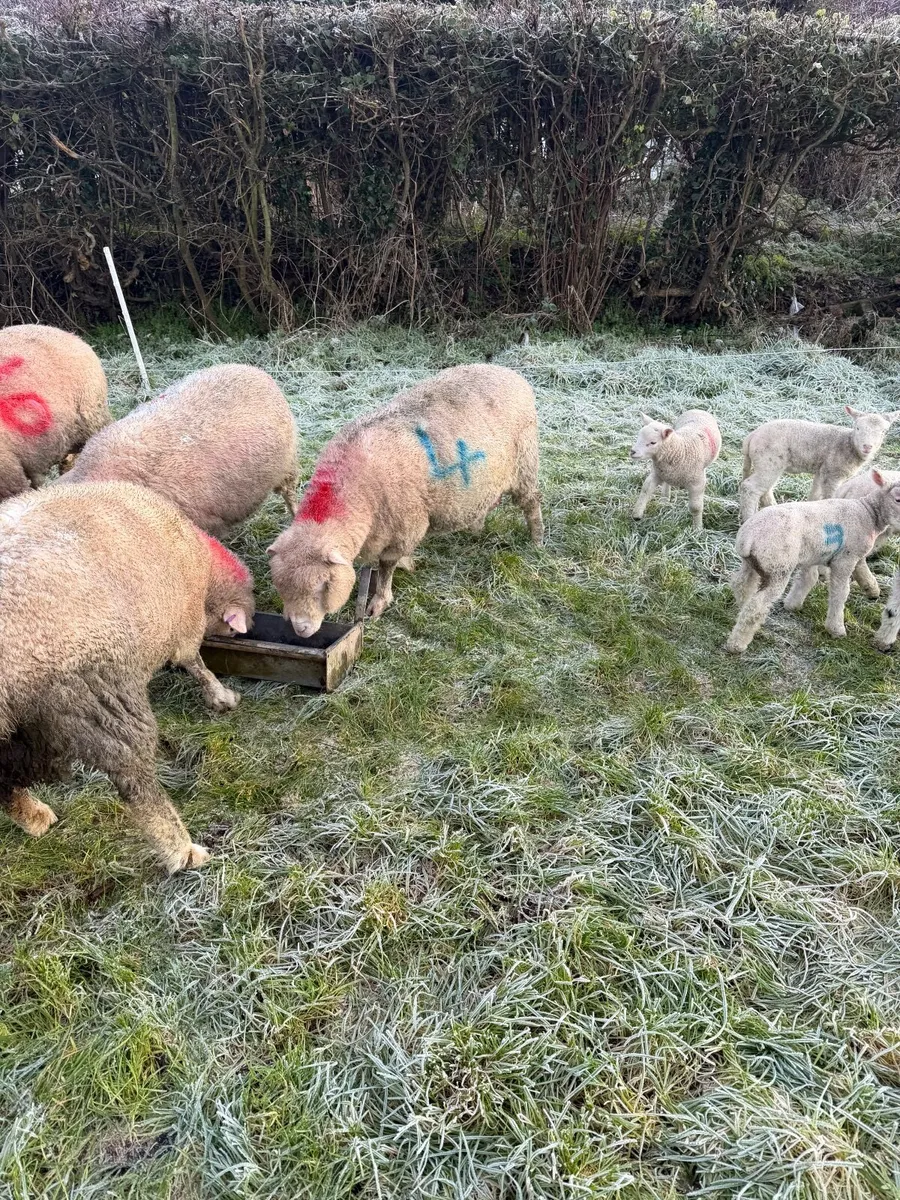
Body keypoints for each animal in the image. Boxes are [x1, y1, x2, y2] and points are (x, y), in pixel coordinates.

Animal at [0, 481, 255, 872]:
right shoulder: (183, 623)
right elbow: (194, 661)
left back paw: (36, 817)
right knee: (133, 776)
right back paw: (183, 851)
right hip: (92, 691)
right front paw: (220, 695)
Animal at [266, 363, 543, 635]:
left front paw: (380, 601)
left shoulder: (405, 528)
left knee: (532, 503)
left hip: (525, 464)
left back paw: (537, 540)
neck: (351, 492)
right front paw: (404, 565)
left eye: (323, 585)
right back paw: (477, 528)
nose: (300, 630)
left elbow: (387, 566)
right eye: (279, 586)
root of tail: (510, 373)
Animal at [724, 469, 900, 654]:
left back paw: (741, 609)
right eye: (897, 499)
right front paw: (836, 628)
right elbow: (840, 593)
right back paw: (737, 644)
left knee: (741, 585)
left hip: (752, 563)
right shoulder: (845, 559)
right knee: (756, 606)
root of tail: (748, 538)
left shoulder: (815, 555)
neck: (868, 512)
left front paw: (793, 604)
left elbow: (807, 579)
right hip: (778, 568)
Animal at [738, 406, 900, 525]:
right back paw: (748, 519)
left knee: (765, 489)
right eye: (858, 428)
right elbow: (830, 497)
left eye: (884, 432)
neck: (848, 445)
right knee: (750, 488)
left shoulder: (822, 470)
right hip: (769, 460)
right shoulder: (833, 472)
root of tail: (751, 437)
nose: (867, 447)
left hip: (769, 463)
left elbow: (815, 494)